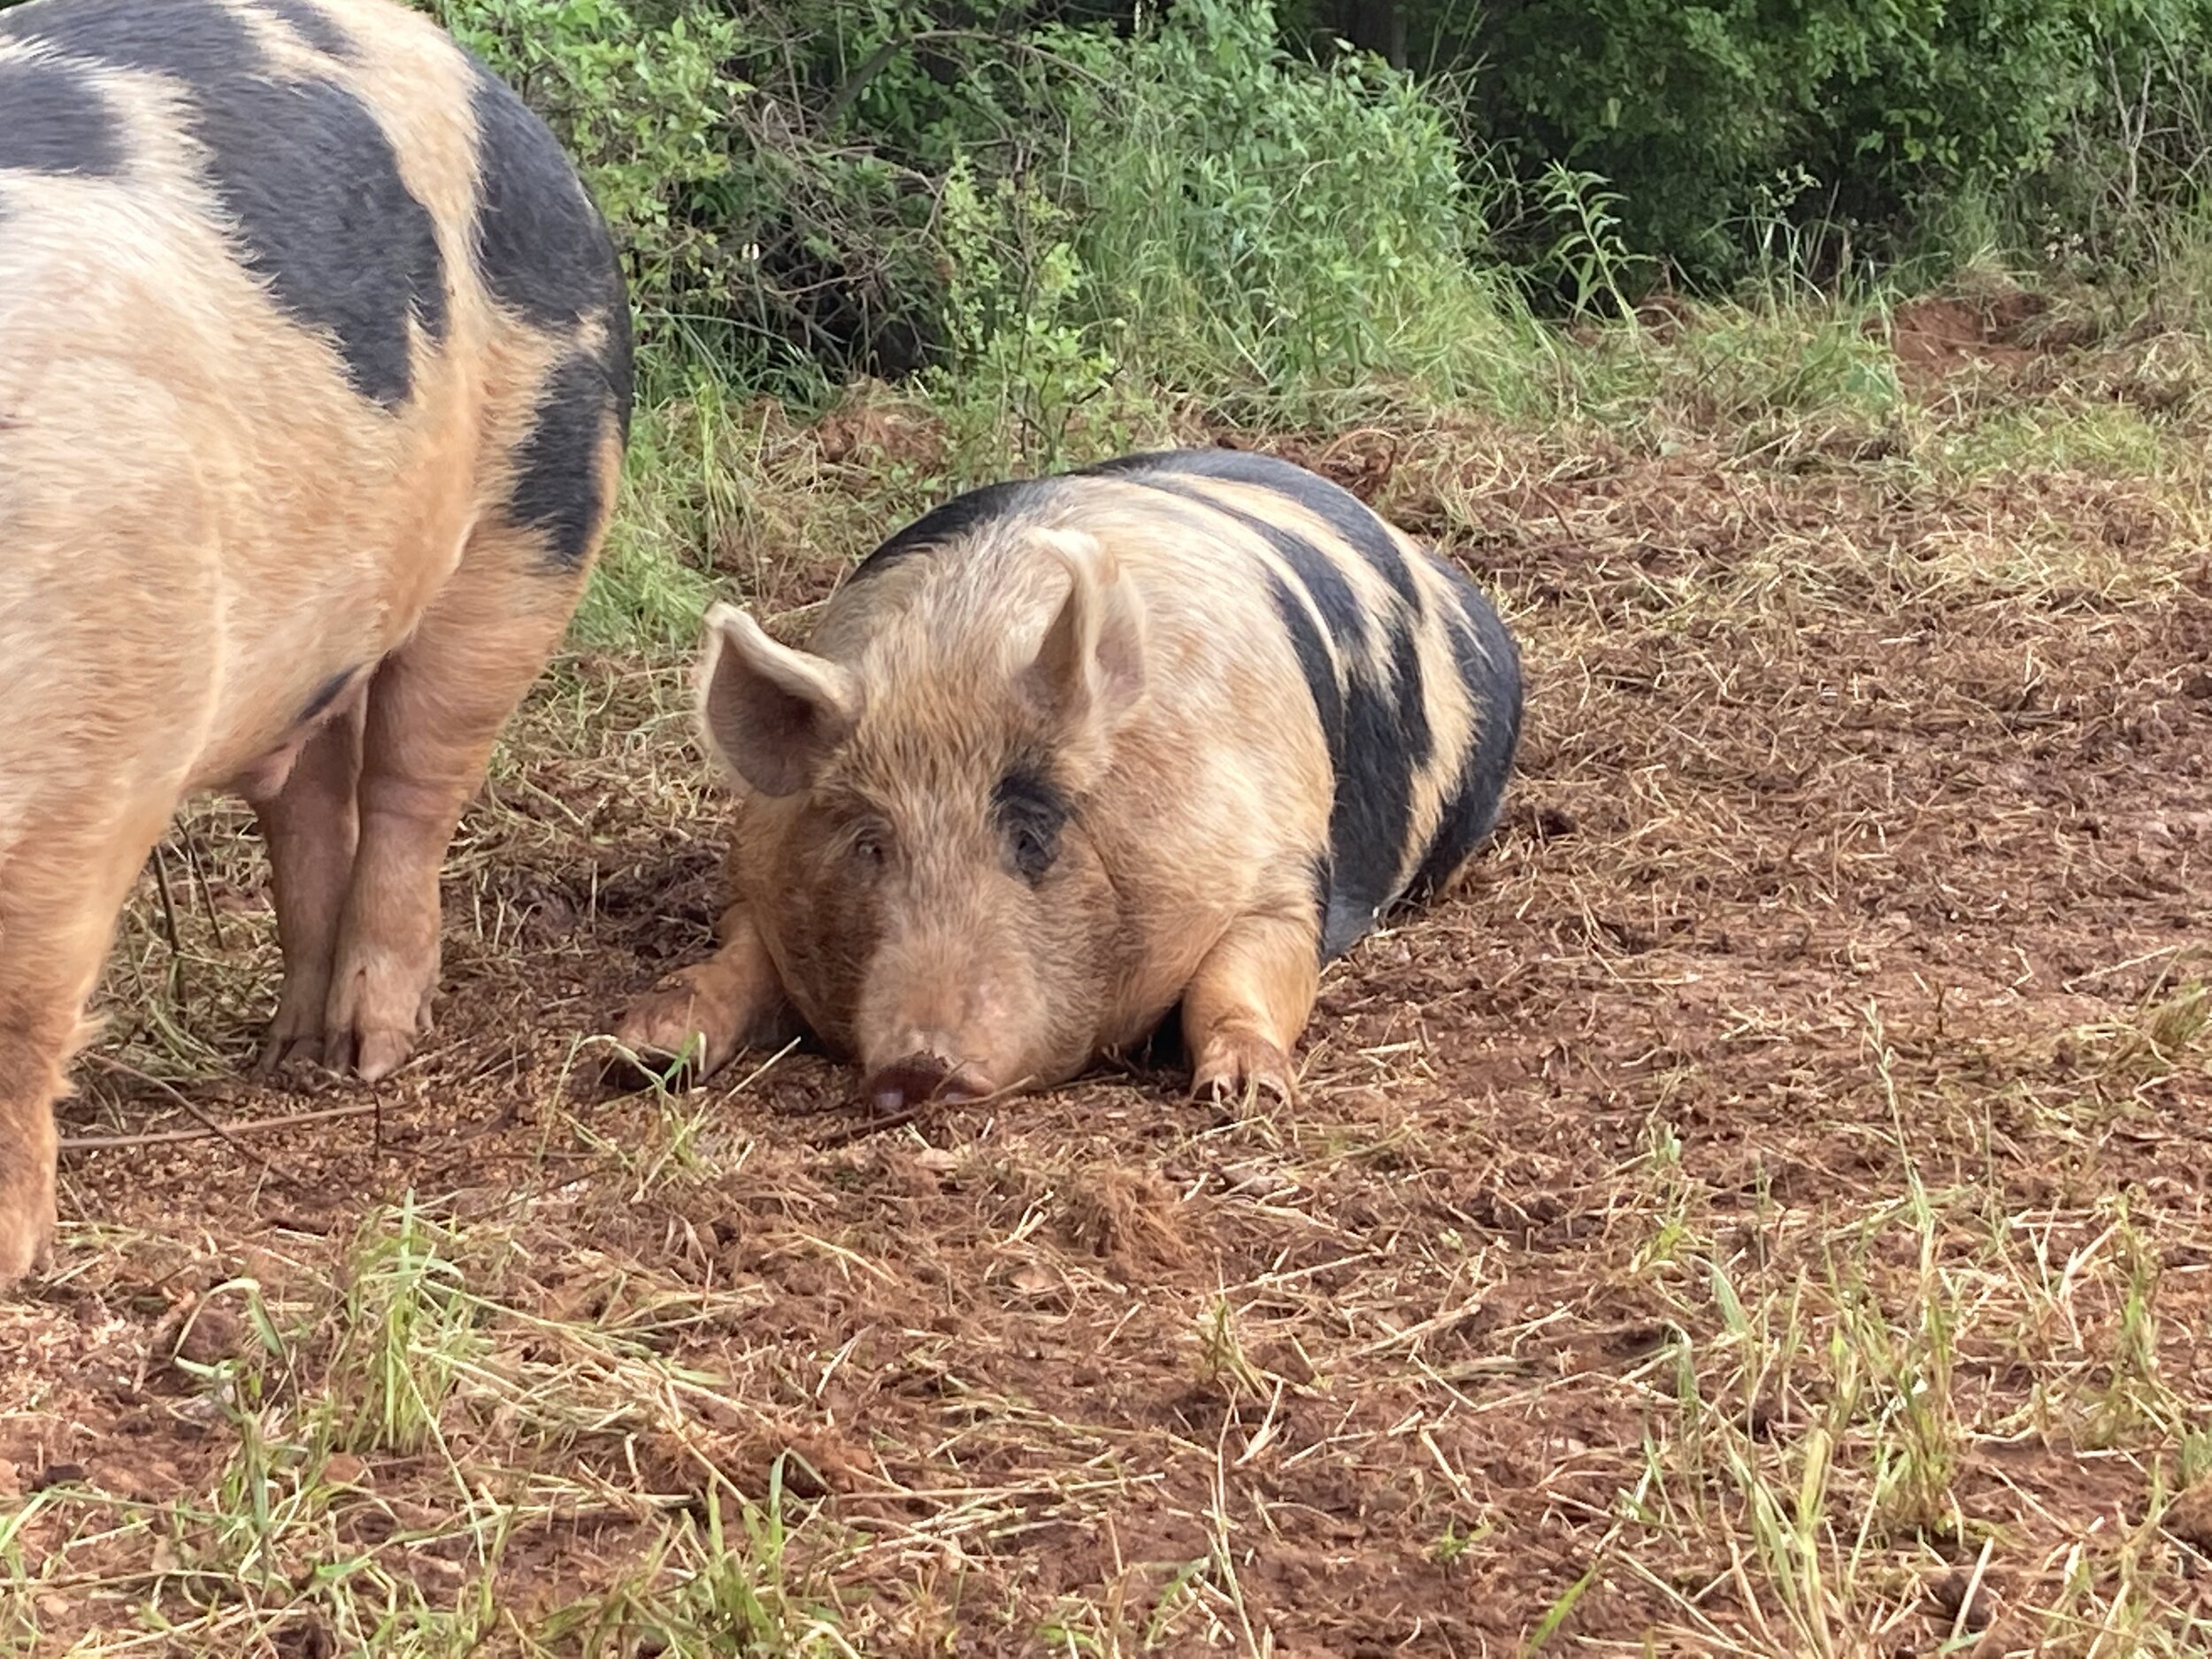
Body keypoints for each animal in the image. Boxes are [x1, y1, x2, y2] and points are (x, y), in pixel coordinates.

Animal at [0, 0, 633, 1283]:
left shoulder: (100, 736)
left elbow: (23, 988)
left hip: (539, 509)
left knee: (411, 787)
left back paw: (366, 1051)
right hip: (319, 633)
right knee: (310, 802)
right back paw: (286, 1050)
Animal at [614, 447, 1522, 1111]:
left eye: (1031, 835)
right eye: (871, 844)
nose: (918, 1068)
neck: (959, 659)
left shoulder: (1282, 871)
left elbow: (1238, 979)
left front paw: (1246, 1092)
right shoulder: (756, 878)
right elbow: (731, 961)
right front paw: (639, 1050)